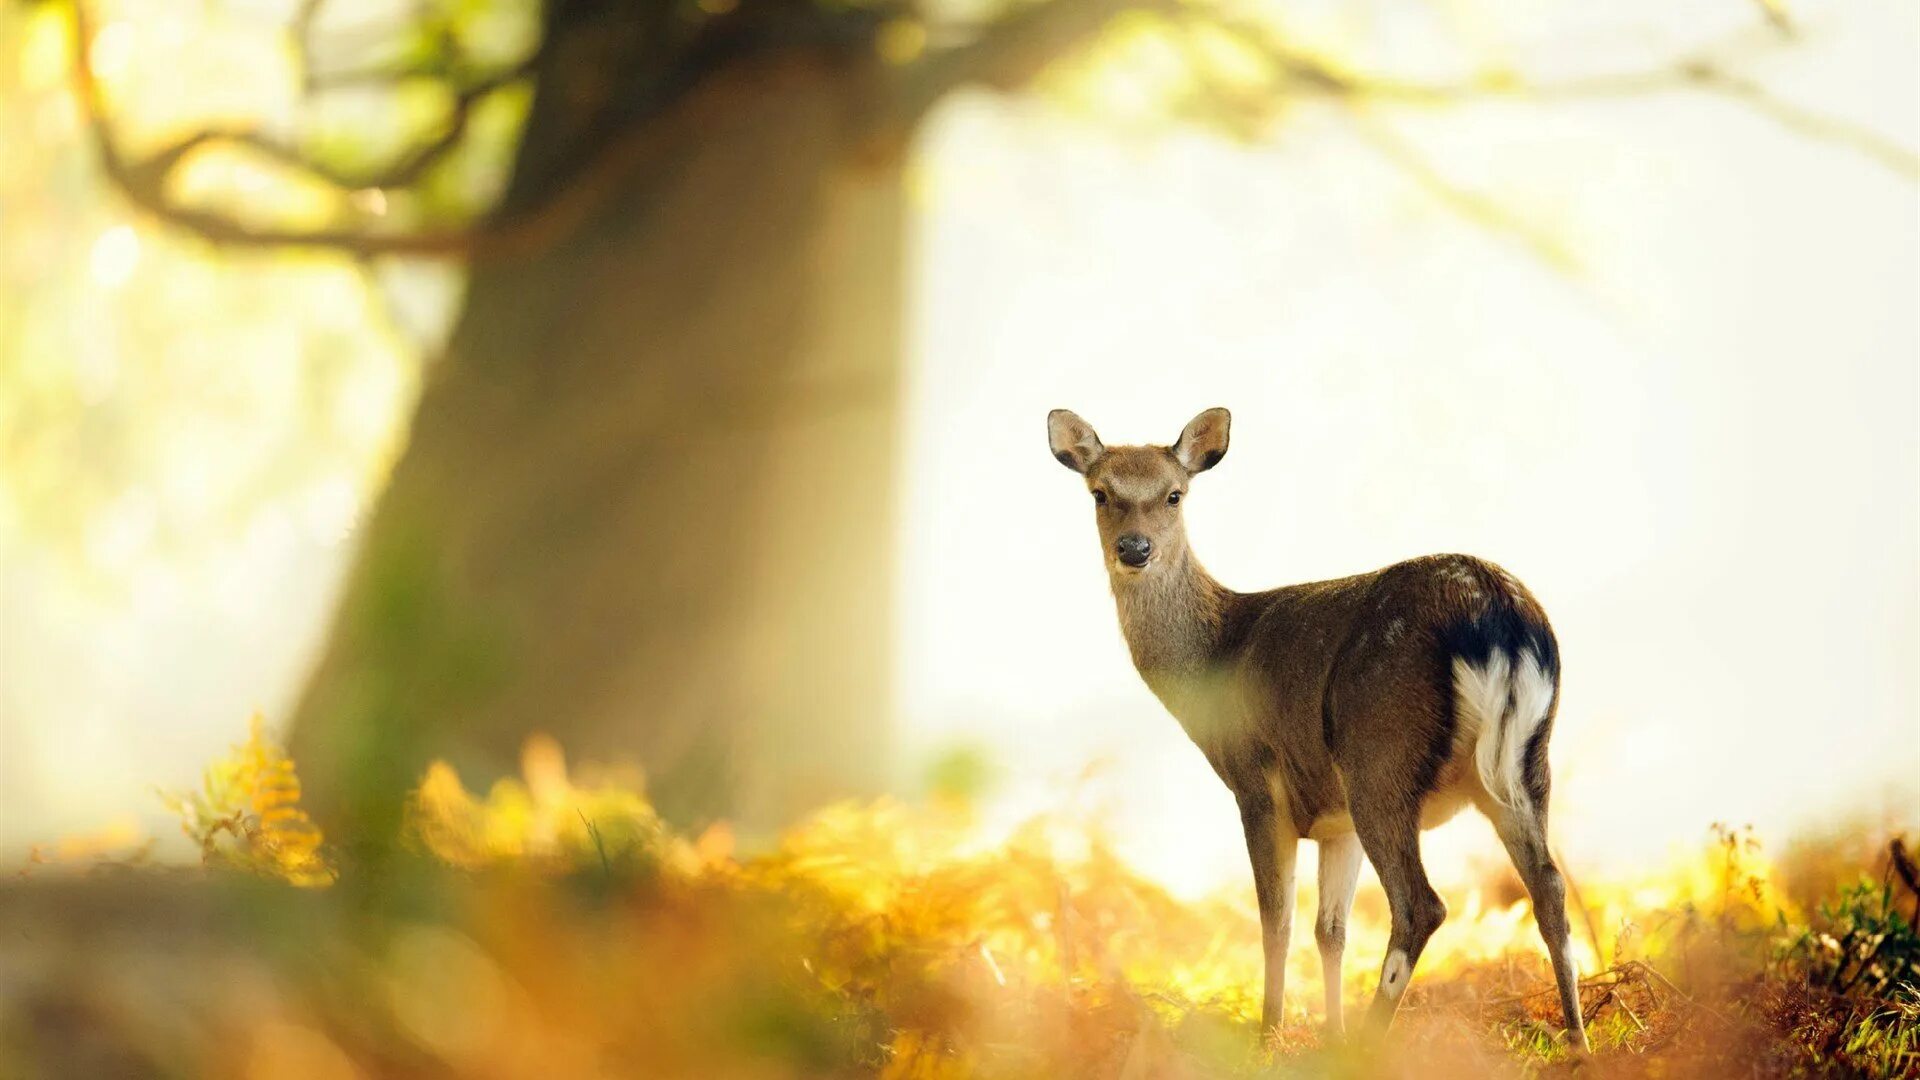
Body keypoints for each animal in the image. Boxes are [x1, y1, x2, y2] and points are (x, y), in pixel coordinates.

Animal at [1052, 401, 1589, 1045]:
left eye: (1174, 494)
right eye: (1101, 492)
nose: (1135, 549)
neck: (1214, 658)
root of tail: (1495, 610)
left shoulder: (1257, 781)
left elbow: (1275, 920)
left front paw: (1270, 1038)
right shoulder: (1337, 821)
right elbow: (1329, 930)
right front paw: (1327, 1035)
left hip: (1379, 753)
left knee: (1421, 904)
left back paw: (1370, 1043)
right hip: (1529, 761)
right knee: (1551, 887)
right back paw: (1580, 1042)